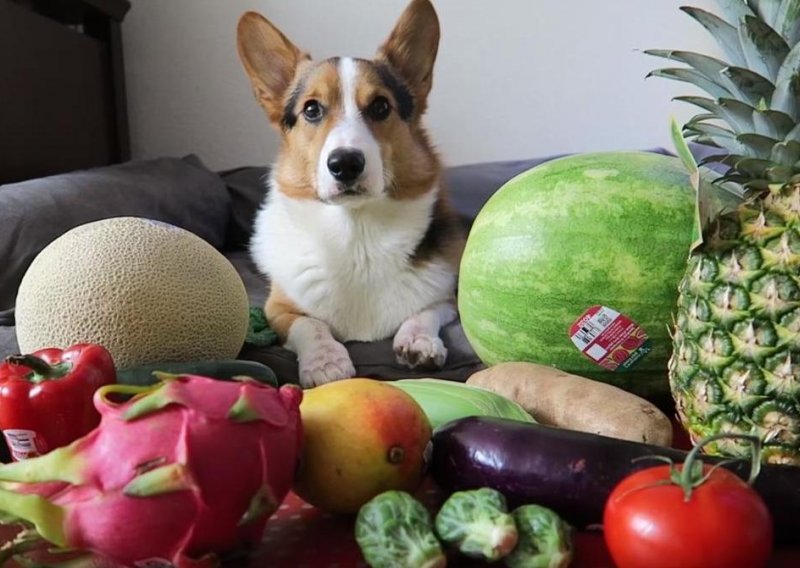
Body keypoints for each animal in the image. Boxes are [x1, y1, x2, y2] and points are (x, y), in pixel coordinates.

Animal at [234, 0, 466, 386]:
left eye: (381, 107)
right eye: (312, 109)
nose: (345, 164)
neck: (357, 235)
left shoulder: (446, 298)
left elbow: (425, 312)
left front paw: (419, 342)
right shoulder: (277, 309)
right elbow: (310, 325)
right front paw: (326, 361)